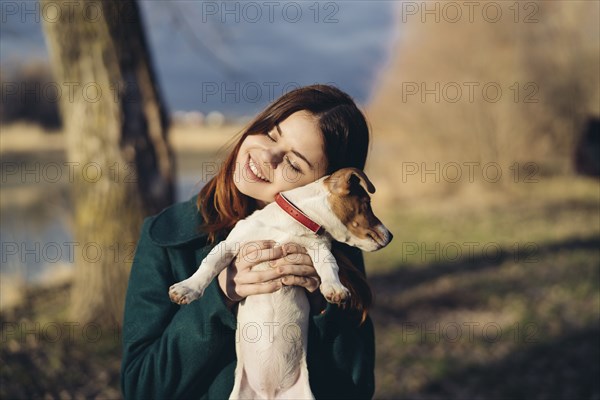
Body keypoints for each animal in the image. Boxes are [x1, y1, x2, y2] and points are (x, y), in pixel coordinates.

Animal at [169, 167, 394, 398]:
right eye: (367, 204)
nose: (391, 236)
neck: (294, 223)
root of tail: (270, 393)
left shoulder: (319, 249)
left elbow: (330, 267)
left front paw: (335, 288)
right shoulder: (230, 245)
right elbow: (210, 263)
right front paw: (188, 288)